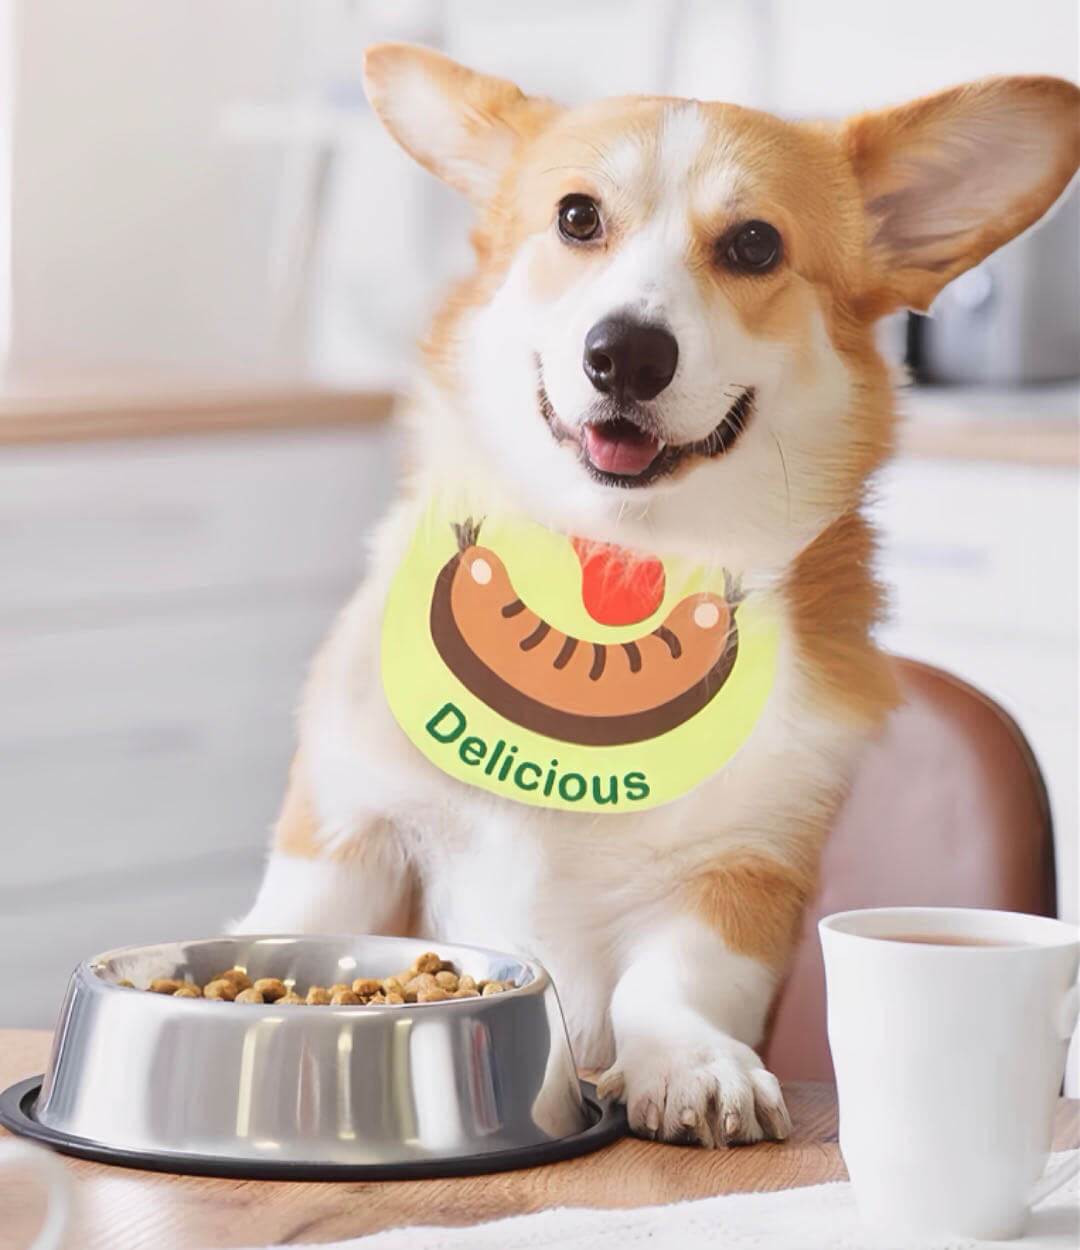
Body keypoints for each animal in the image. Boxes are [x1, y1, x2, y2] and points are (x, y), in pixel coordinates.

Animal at [238, 44, 1080, 1145]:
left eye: (756, 244)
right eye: (576, 218)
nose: (626, 352)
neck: (613, 576)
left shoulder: (743, 877)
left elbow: (674, 982)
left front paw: (691, 1064)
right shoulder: (348, 827)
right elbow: (299, 924)